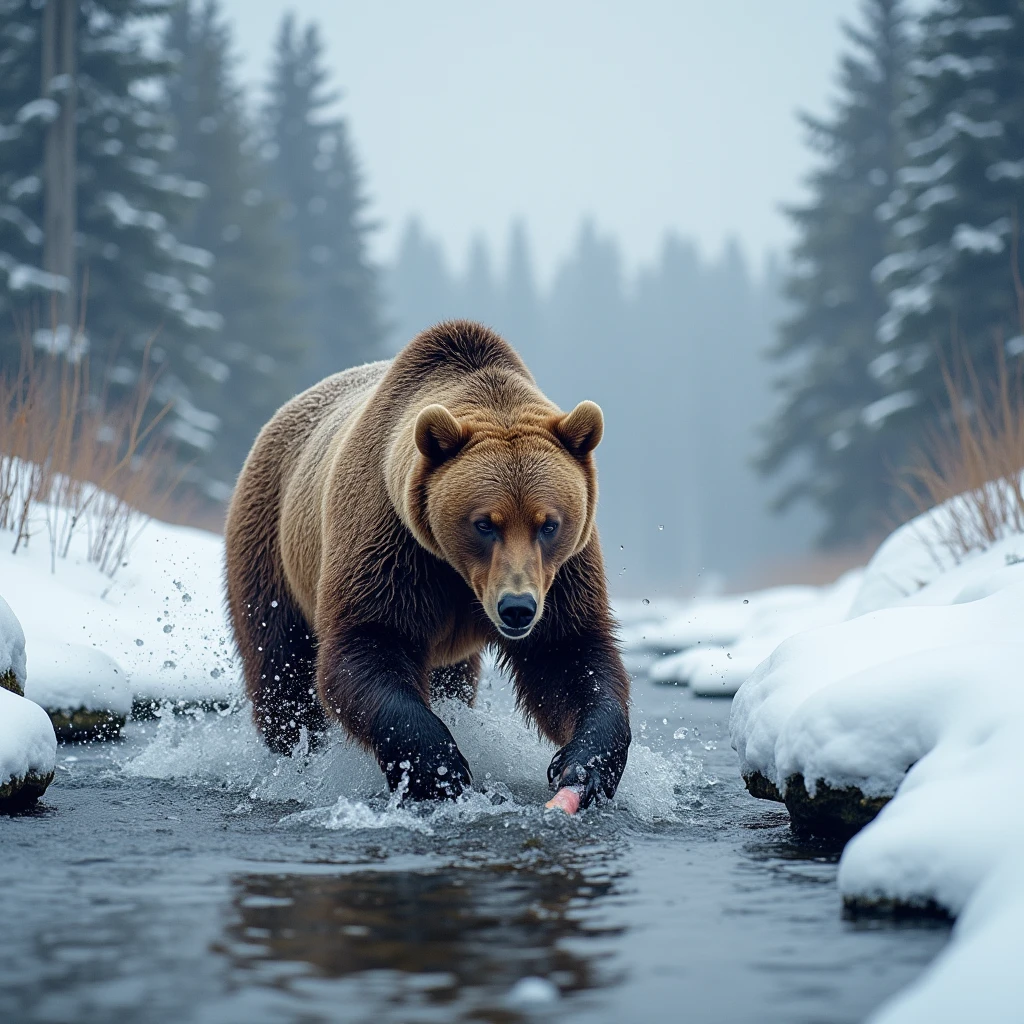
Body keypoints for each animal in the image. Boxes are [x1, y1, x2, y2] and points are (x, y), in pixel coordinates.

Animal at [224, 319, 630, 806]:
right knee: (281, 664)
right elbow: (368, 644)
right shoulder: (392, 545)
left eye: (548, 523)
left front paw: (586, 766)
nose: (517, 607)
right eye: (484, 523)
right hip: (271, 544)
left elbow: (568, 655)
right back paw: (296, 755)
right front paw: (439, 769)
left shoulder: (563, 571)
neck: (457, 572)